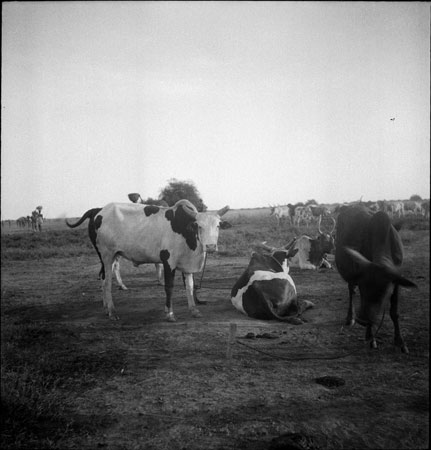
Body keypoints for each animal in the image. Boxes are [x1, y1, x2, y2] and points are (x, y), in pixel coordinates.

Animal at [87, 200, 230, 320]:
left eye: (218, 226)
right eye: (199, 226)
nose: (210, 246)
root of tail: (100, 211)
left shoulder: (187, 265)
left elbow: (189, 286)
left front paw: (194, 310)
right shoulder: (168, 262)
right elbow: (169, 287)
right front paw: (170, 313)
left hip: (112, 256)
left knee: (103, 278)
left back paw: (106, 308)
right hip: (107, 256)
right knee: (107, 282)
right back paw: (112, 311)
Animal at [336, 206, 416, 354]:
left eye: (383, 290)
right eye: (363, 287)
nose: (362, 320)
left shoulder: (396, 282)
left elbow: (394, 312)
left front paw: (400, 341)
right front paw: (370, 337)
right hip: (350, 275)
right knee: (351, 291)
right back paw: (350, 317)